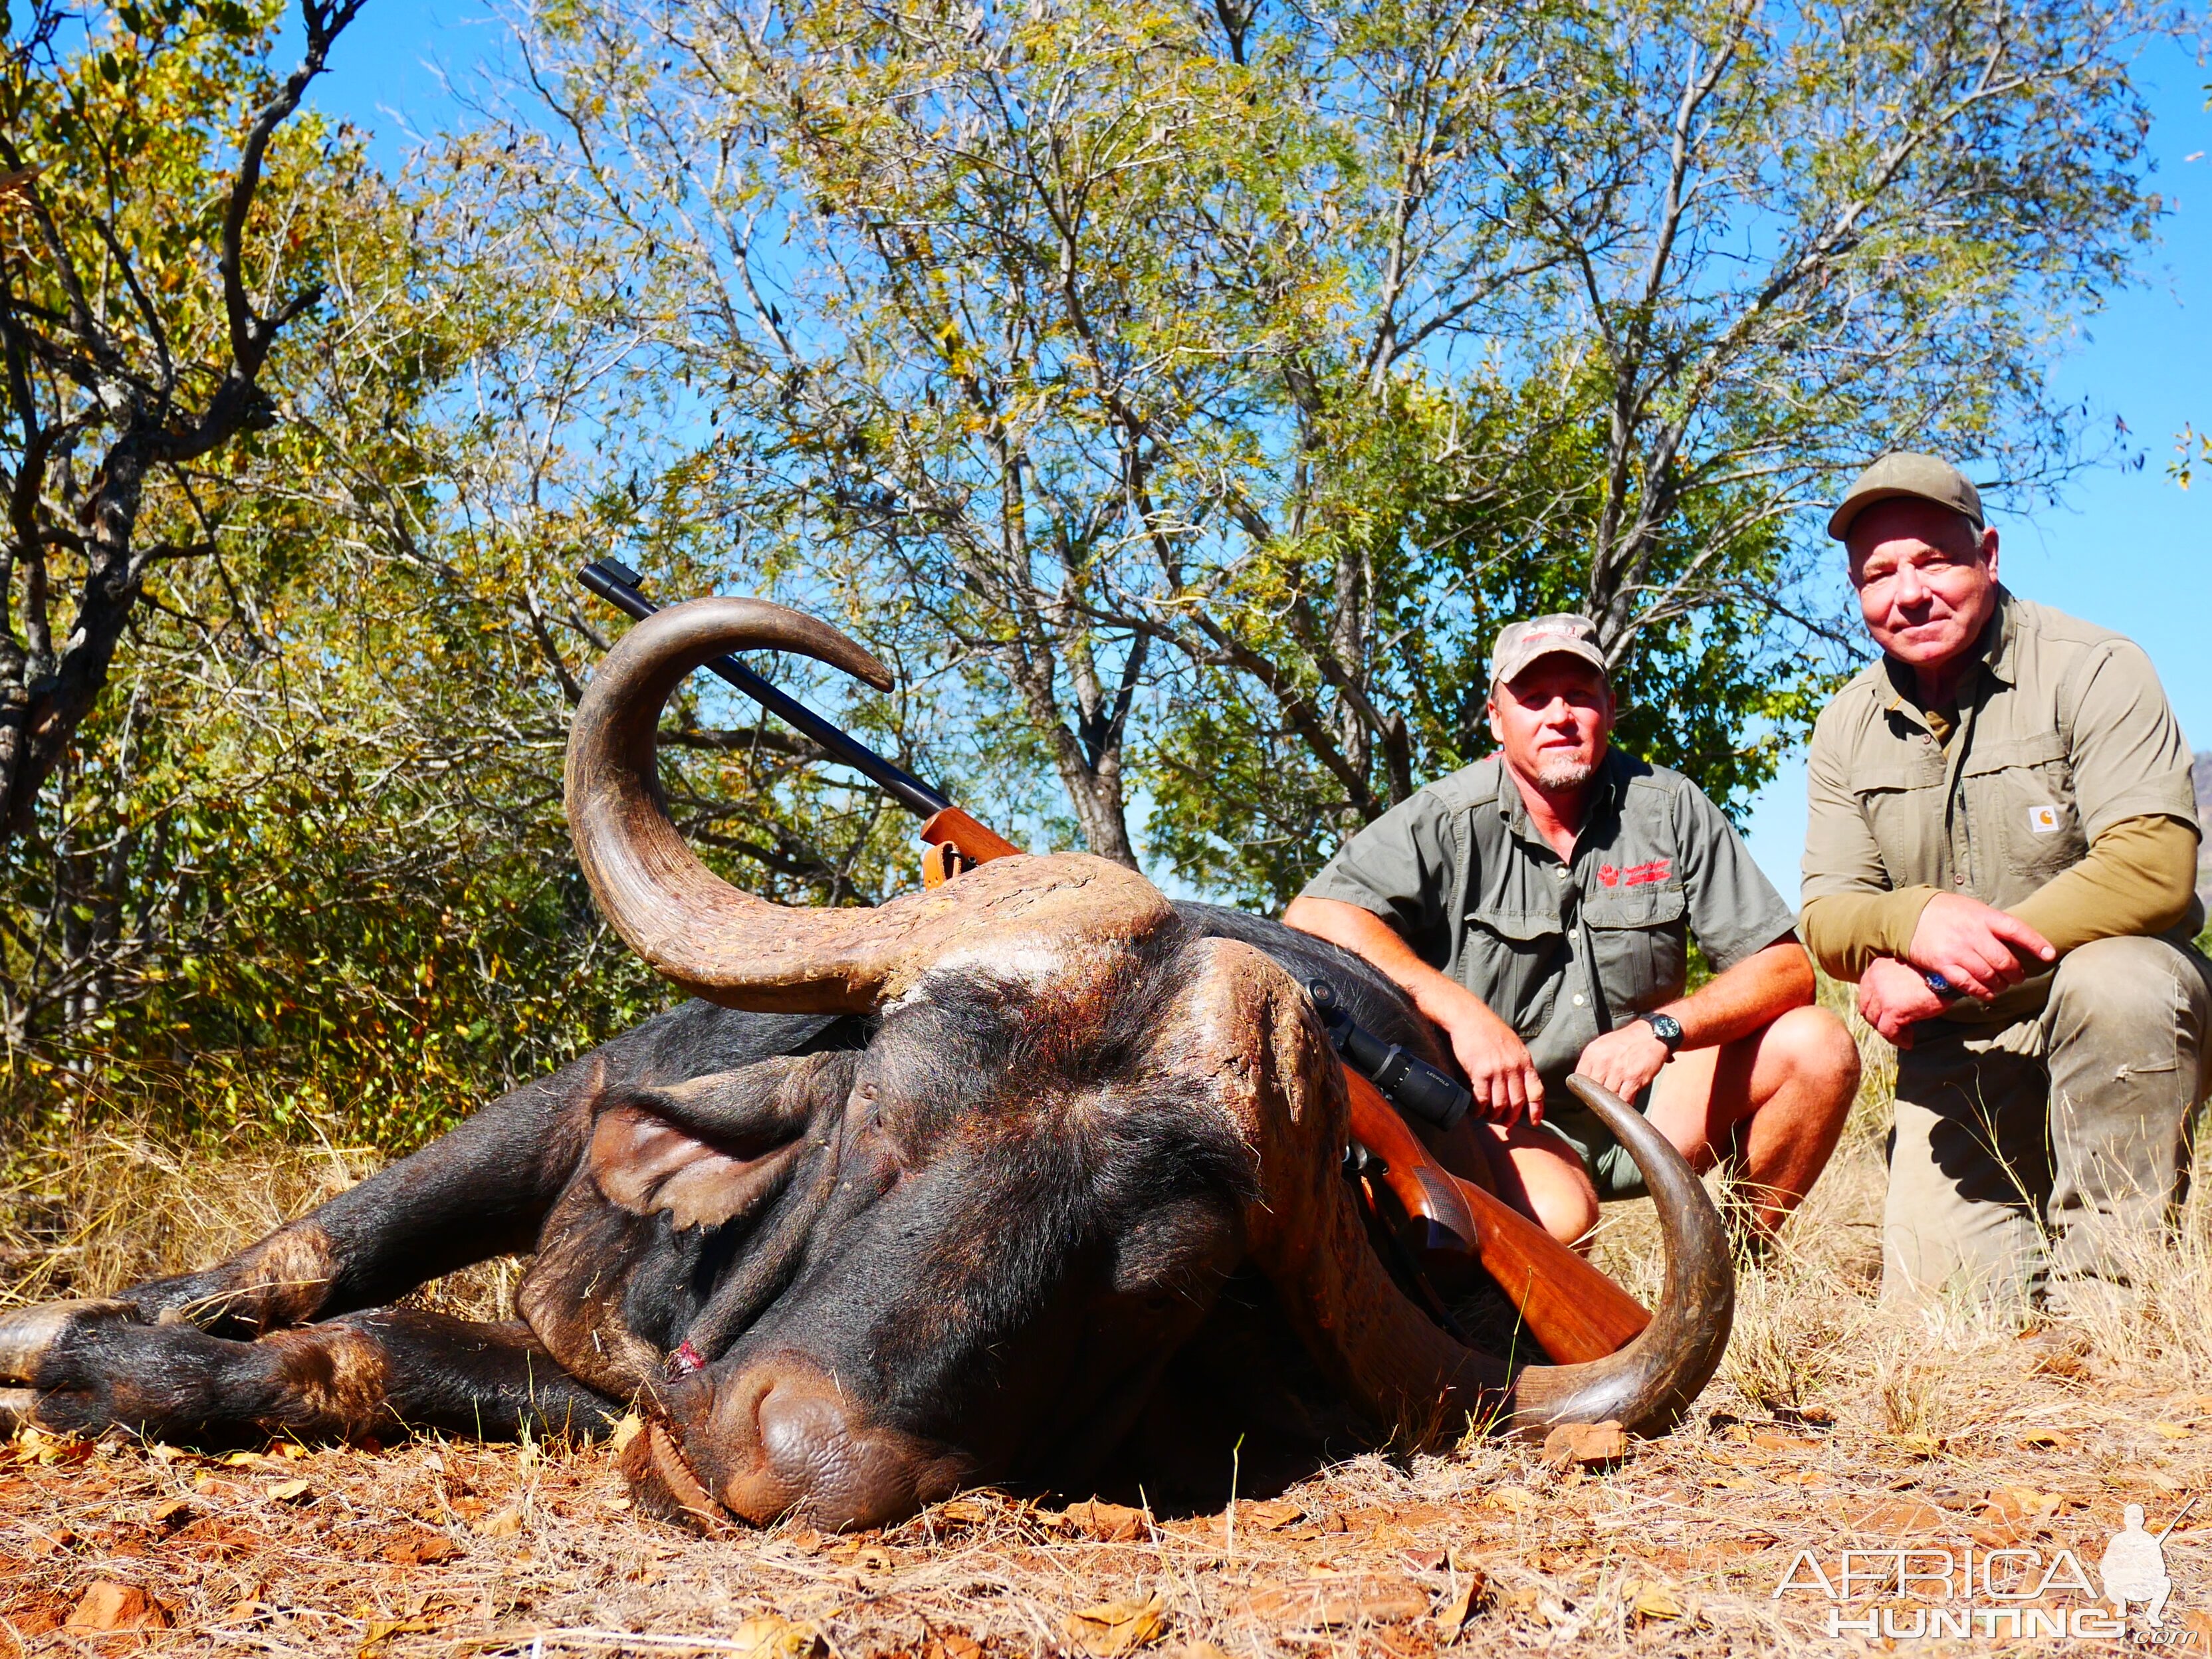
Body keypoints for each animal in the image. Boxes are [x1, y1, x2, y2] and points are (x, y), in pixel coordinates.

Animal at [0, 597, 1725, 1530]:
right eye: (873, 1124)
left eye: (1162, 1285)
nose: (791, 1466)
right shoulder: (559, 1116)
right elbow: (306, 1259)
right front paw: (67, 1335)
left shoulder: (590, 1387)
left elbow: (370, 1348)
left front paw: (109, 1370)